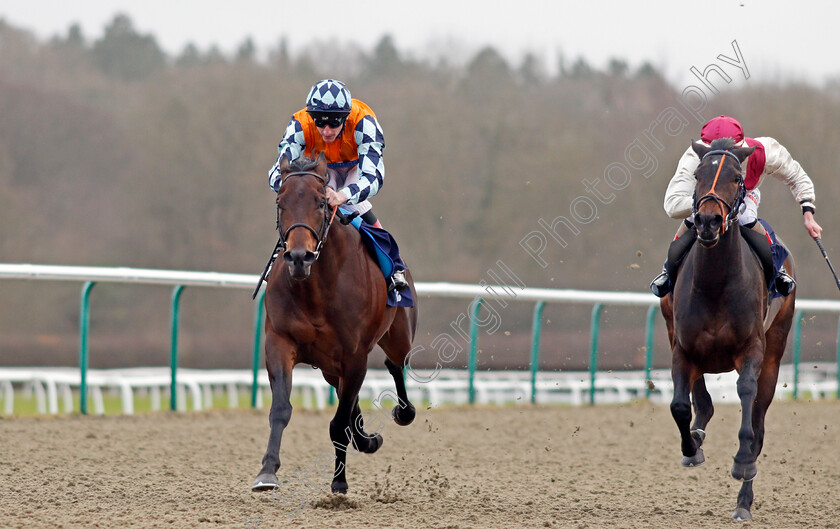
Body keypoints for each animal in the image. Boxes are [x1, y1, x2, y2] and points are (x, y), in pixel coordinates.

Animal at [251, 153, 418, 496]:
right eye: (280, 202)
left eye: (320, 203)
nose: (298, 257)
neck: (315, 289)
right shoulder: (279, 342)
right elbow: (281, 409)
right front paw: (267, 472)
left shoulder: (354, 355)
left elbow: (338, 423)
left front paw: (339, 482)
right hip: (329, 365)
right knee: (346, 392)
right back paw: (366, 438)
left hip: (398, 336)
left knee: (395, 364)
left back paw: (401, 412)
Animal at [664, 136, 796, 520]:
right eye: (697, 174)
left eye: (738, 178)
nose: (707, 221)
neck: (716, 283)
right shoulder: (682, 347)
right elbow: (680, 405)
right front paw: (692, 447)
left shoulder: (752, 348)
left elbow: (747, 395)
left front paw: (741, 462)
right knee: (700, 400)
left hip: (775, 349)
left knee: (759, 420)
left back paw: (743, 500)